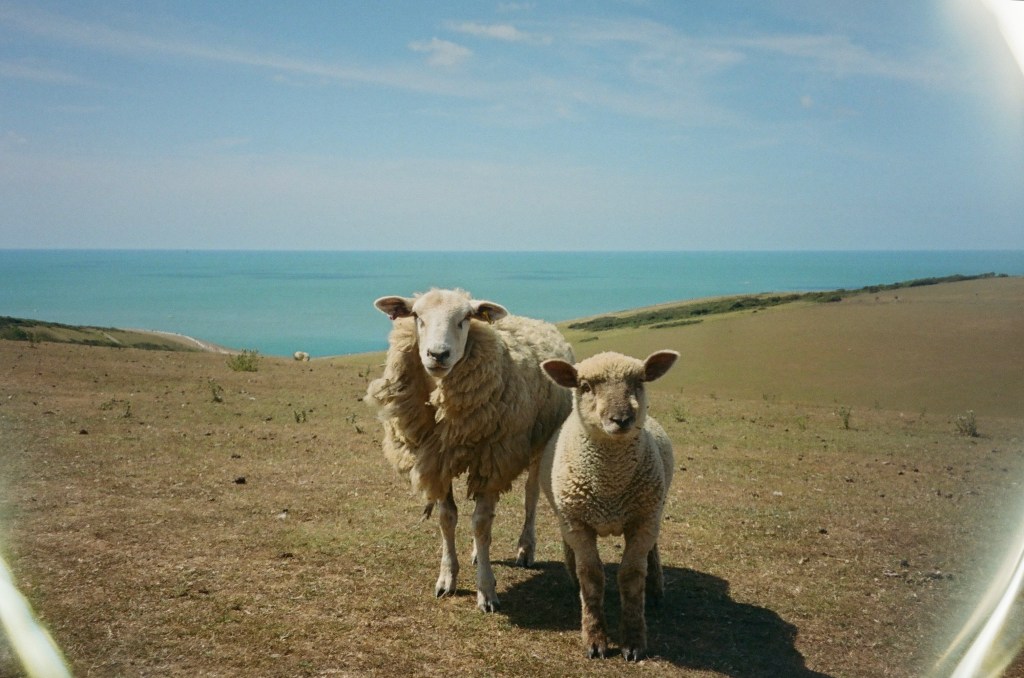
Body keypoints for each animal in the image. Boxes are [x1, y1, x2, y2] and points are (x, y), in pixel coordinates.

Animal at [365, 288, 574, 612]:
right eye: (416, 316)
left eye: (465, 318)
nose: (438, 355)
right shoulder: (438, 461)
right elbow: (448, 518)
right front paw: (447, 578)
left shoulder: (494, 457)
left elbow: (480, 524)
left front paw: (486, 591)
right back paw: (477, 553)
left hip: (538, 441)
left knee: (530, 496)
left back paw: (525, 548)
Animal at [539, 349, 679, 661]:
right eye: (585, 386)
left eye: (639, 381)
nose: (621, 419)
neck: (610, 486)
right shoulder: (577, 523)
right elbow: (591, 576)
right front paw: (594, 639)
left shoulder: (643, 520)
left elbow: (631, 576)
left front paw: (634, 641)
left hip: (654, 507)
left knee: (653, 550)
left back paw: (657, 589)